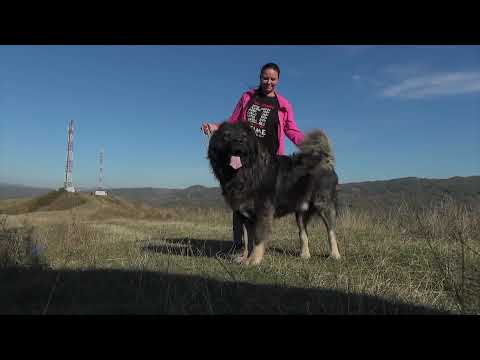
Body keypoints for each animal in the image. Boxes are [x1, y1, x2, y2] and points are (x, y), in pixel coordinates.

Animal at [208, 122, 340, 266]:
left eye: (244, 137)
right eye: (226, 136)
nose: (239, 141)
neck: (247, 173)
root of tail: (324, 159)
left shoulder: (262, 212)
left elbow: (258, 239)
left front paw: (254, 261)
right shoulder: (245, 215)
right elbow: (248, 241)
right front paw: (245, 259)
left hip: (323, 204)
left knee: (331, 231)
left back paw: (335, 255)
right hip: (300, 212)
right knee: (303, 233)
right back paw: (305, 255)